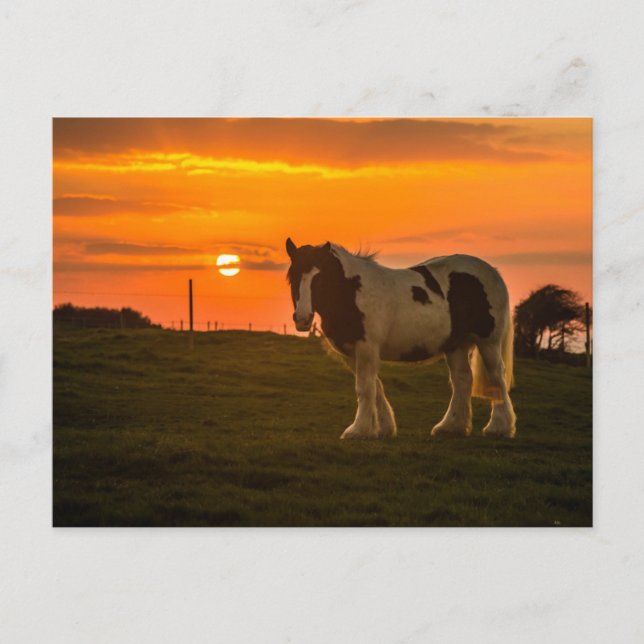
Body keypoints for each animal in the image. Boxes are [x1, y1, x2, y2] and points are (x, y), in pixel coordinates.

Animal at [285, 238, 516, 440]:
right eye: (292, 275)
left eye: (320, 277)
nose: (303, 319)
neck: (352, 292)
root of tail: (492, 272)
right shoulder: (352, 353)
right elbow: (375, 387)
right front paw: (382, 428)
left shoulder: (367, 349)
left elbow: (365, 388)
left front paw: (358, 430)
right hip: (455, 345)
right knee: (462, 379)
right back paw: (451, 427)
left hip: (488, 342)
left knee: (496, 377)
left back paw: (499, 427)